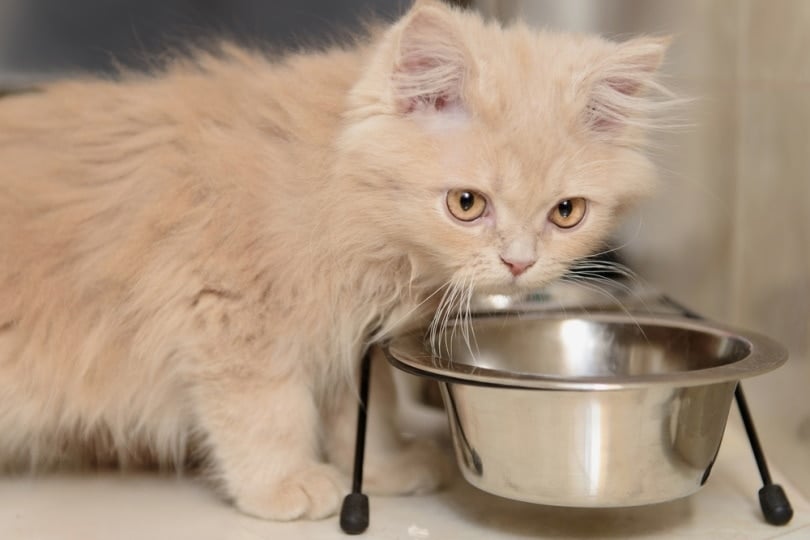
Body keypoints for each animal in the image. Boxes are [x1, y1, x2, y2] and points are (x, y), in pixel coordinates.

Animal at [0, 0, 664, 520]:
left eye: (566, 212)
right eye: (467, 204)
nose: (519, 264)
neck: (332, 186)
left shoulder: (353, 340)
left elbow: (367, 416)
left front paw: (383, 469)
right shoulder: (230, 312)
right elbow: (267, 412)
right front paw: (284, 484)